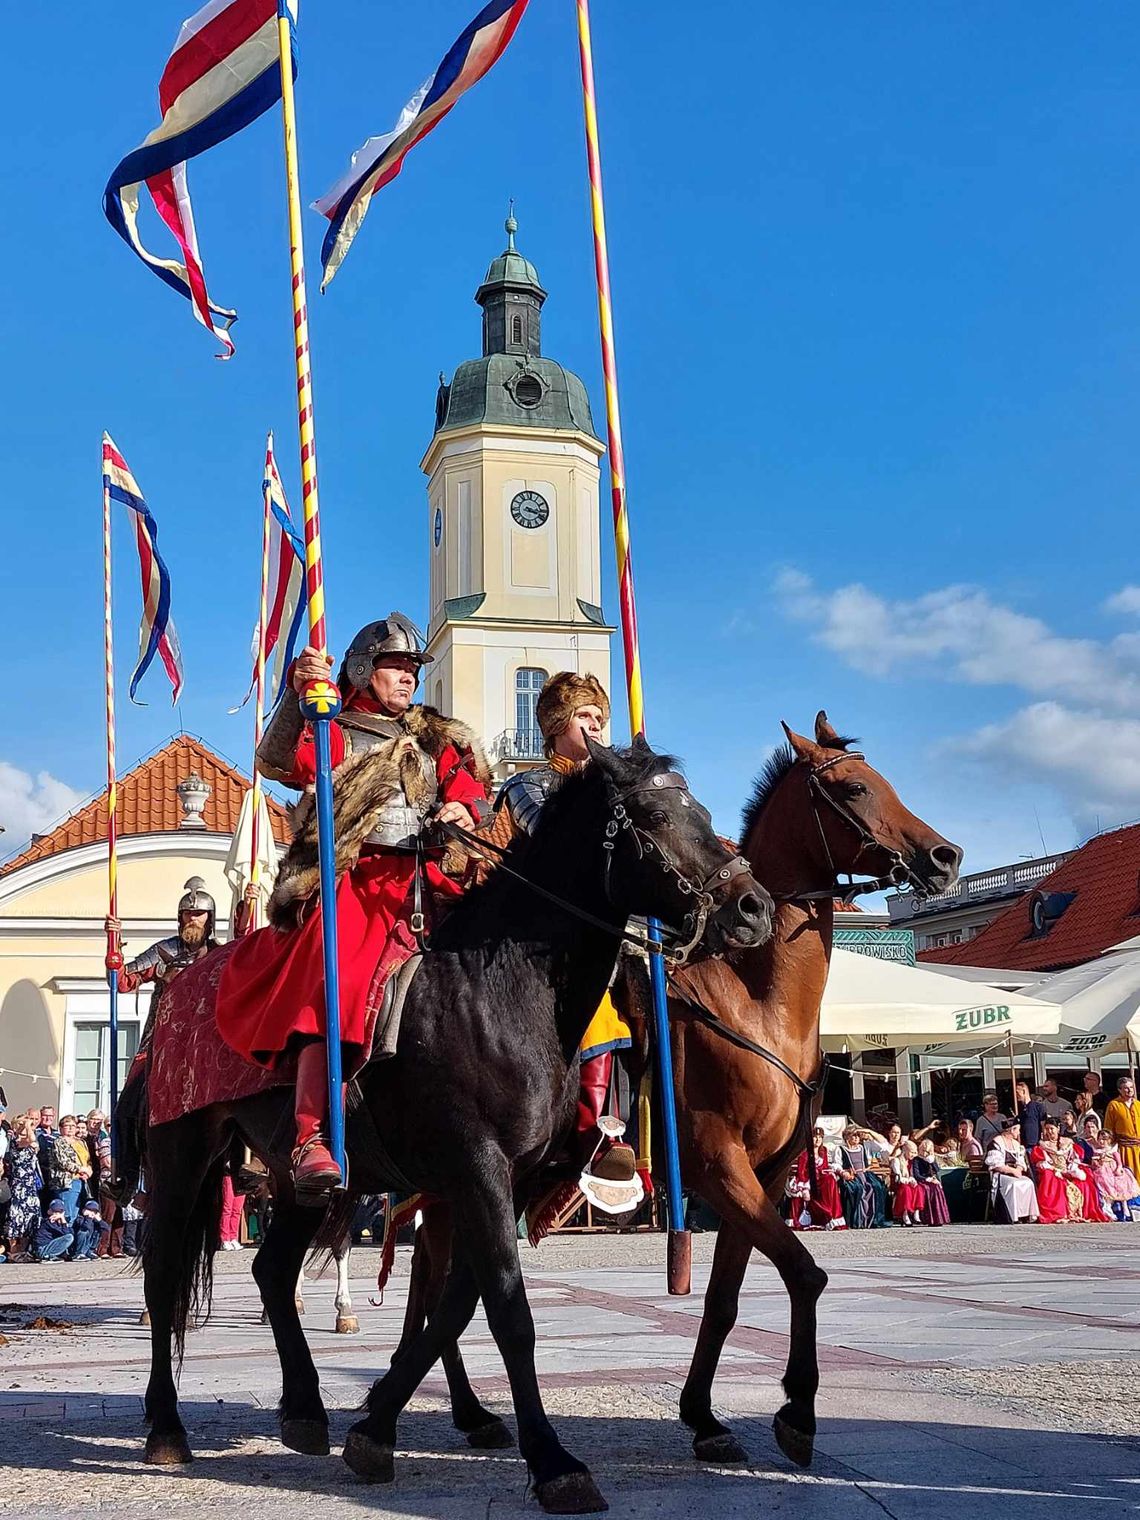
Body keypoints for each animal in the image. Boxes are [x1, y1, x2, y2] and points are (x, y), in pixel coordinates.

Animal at [120, 732, 772, 1507]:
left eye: (702, 811)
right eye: (655, 815)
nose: (753, 907)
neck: (499, 980)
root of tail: (175, 991)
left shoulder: (501, 1179)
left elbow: (458, 1301)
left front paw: (377, 1425)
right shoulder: (477, 1165)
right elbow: (508, 1311)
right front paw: (553, 1462)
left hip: (299, 1177)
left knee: (273, 1270)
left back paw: (305, 1408)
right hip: (181, 1153)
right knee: (163, 1277)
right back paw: (167, 1429)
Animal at [398, 711, 960, 1471]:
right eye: (853, 787)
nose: (945, 858)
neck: (757, 1003)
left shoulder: (766, 1175)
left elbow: (726, 1297)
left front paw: (704, 1416)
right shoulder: (716, 1165)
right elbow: (804, 1273)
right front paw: (797, 1412)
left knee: (430, 1280)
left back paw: (460, 1409)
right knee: (432, 1281)